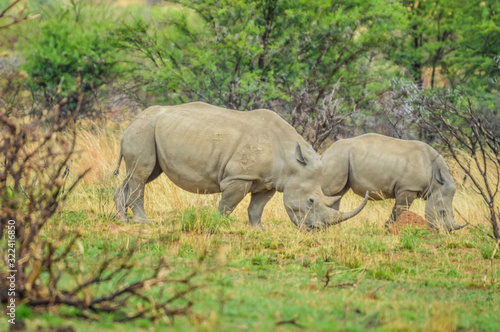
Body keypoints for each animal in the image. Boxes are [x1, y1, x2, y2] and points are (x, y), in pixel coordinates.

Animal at [115, 102, 370, 230]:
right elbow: (228, 203)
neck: (291, 159)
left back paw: (122, 220)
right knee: (141, 174)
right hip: (144, 130)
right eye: (311, 200)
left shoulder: (269, 181)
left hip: (148, 130)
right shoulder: (239, 176)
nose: (316, 229)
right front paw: (218, 224)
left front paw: (258, 229)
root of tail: (131, 121)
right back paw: (143, 222)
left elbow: (257, 207)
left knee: (140, 174)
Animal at [320, 134, 464, 232]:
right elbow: (400, 209)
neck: (435, 181)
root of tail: (325, 152)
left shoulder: (409, 188)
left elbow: (398, 209)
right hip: (338, 157)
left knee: (337, 193)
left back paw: (333, 229)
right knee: (328, 192)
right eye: (442, 212)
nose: (446, 231)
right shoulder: (408, 188)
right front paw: (391, 229)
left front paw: (388, 228)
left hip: (342, 159)